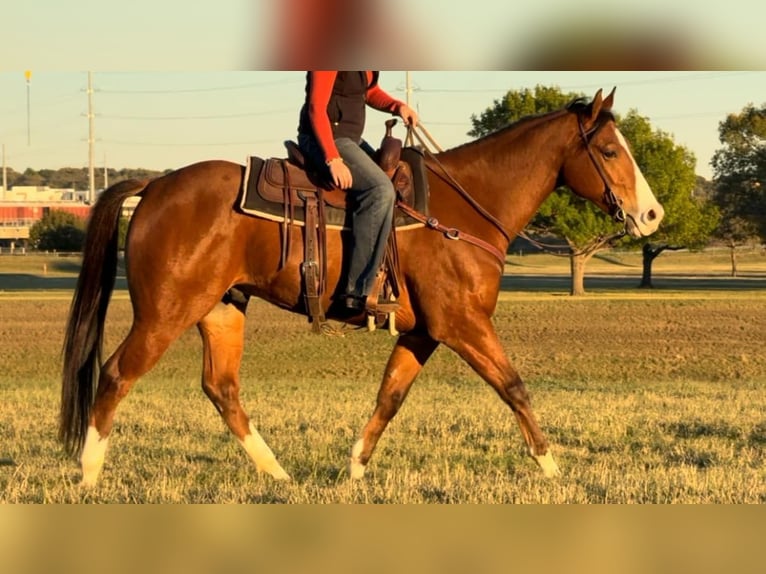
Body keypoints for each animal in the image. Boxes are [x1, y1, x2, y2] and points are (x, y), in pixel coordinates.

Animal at [61, 89, 664, 486]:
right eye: (609, 151)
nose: (652, 215)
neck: (463, 207)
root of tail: (156, 184)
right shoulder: (463, 325)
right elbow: (513, 386)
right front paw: (552, 467)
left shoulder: (423, 333)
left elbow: (389, 397)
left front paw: (353, 468)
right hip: (165, 313)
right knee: (116, 375)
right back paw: (89, 474)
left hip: (221, 310)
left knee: (222, 390)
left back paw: (278, 474)